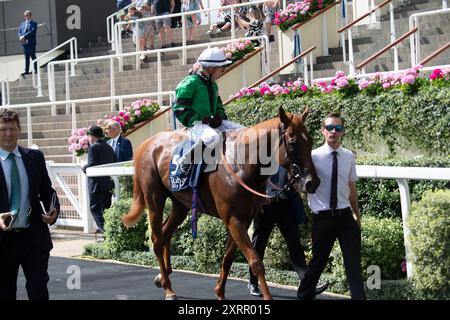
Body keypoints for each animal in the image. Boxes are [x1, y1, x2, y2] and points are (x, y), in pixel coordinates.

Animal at [122, 107, 320, 300]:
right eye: (292, 142)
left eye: (310, 140)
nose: (312, 182)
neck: (241, 165)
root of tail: (145, 145)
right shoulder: (234, 220)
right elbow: (256, 262)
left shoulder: (242, 220)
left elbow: (228, 258)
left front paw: (220, 292)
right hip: (154, 200)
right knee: (156, 239)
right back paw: (168, 289)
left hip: (181, 204)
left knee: (165, 232)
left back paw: (162, 277)